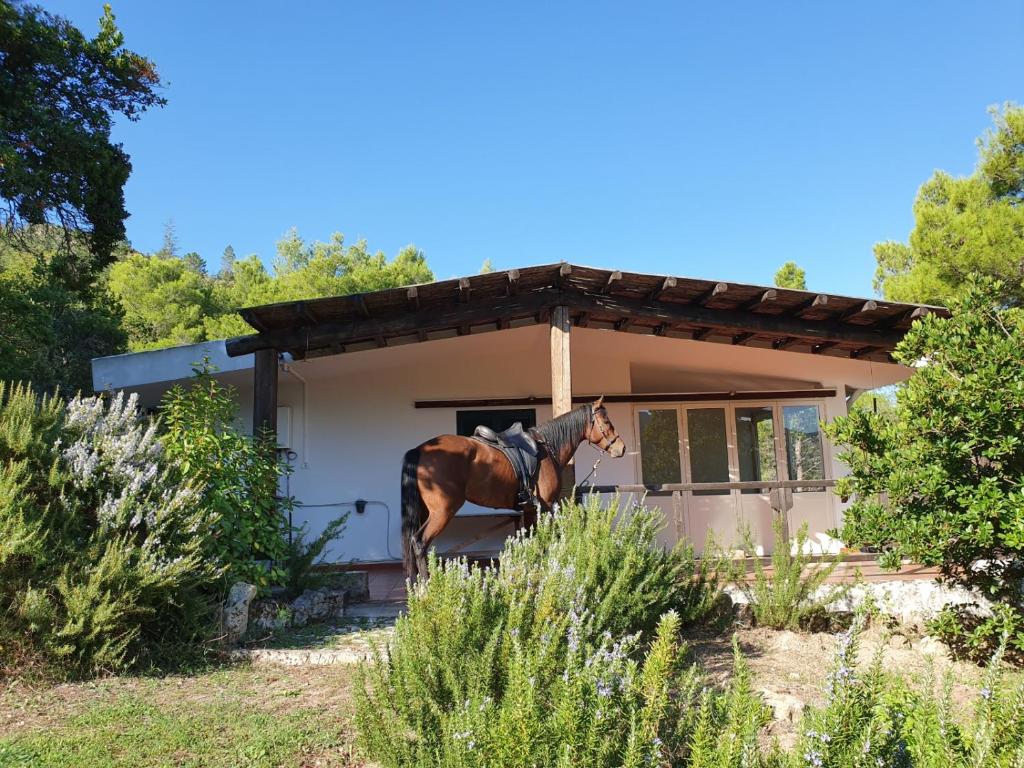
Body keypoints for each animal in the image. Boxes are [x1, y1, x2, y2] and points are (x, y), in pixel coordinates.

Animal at [397, 399, 622, 581]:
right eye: (606, 422)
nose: (621, 448)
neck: (548, 448)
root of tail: (420, 450)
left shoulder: (530, 509)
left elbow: (533, 541)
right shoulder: (546, 506)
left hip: (425, 511)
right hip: (442, 512)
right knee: (419, 543)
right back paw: (425, 586)